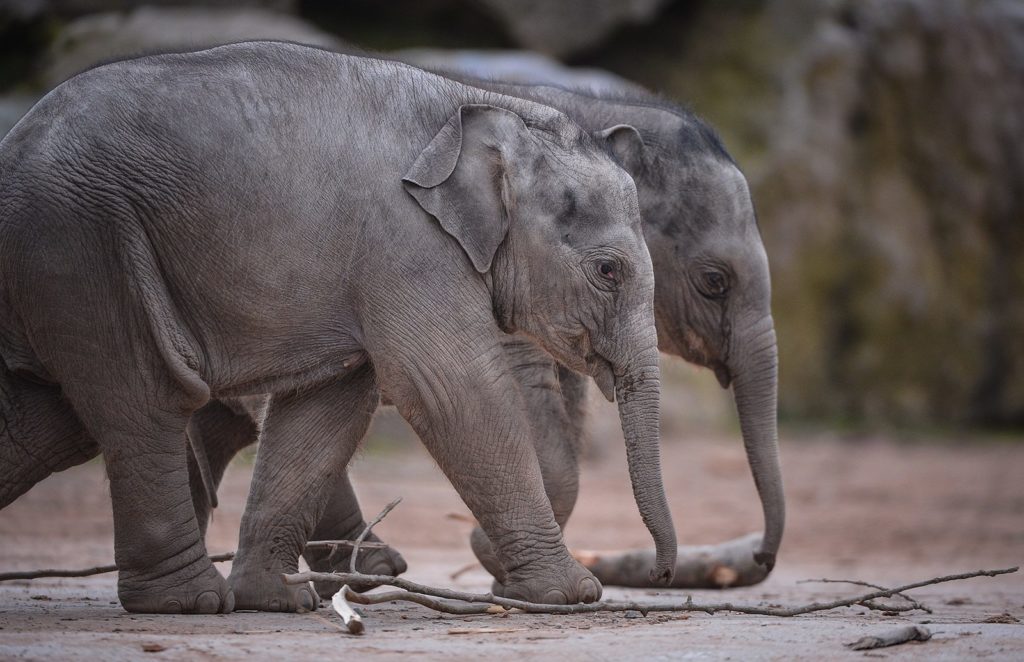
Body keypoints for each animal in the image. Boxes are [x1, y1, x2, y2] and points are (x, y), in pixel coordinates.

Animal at [0, 41, 678, 613]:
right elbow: (453, 389)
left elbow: (326, 408)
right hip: (84, 245)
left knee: (52, 419)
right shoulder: (406, 243)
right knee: (143, 400)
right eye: (609, 271)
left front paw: (276, 601)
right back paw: (189, 602)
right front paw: (572, 594)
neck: (486, 108)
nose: (661, 573)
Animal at [187, 72, 785, 598]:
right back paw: (372, 570)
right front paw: (494, 558)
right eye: (714, 282)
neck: (592, 109)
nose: (758, 557)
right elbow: (527, 404)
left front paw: (502, 573)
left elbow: (565, 411)